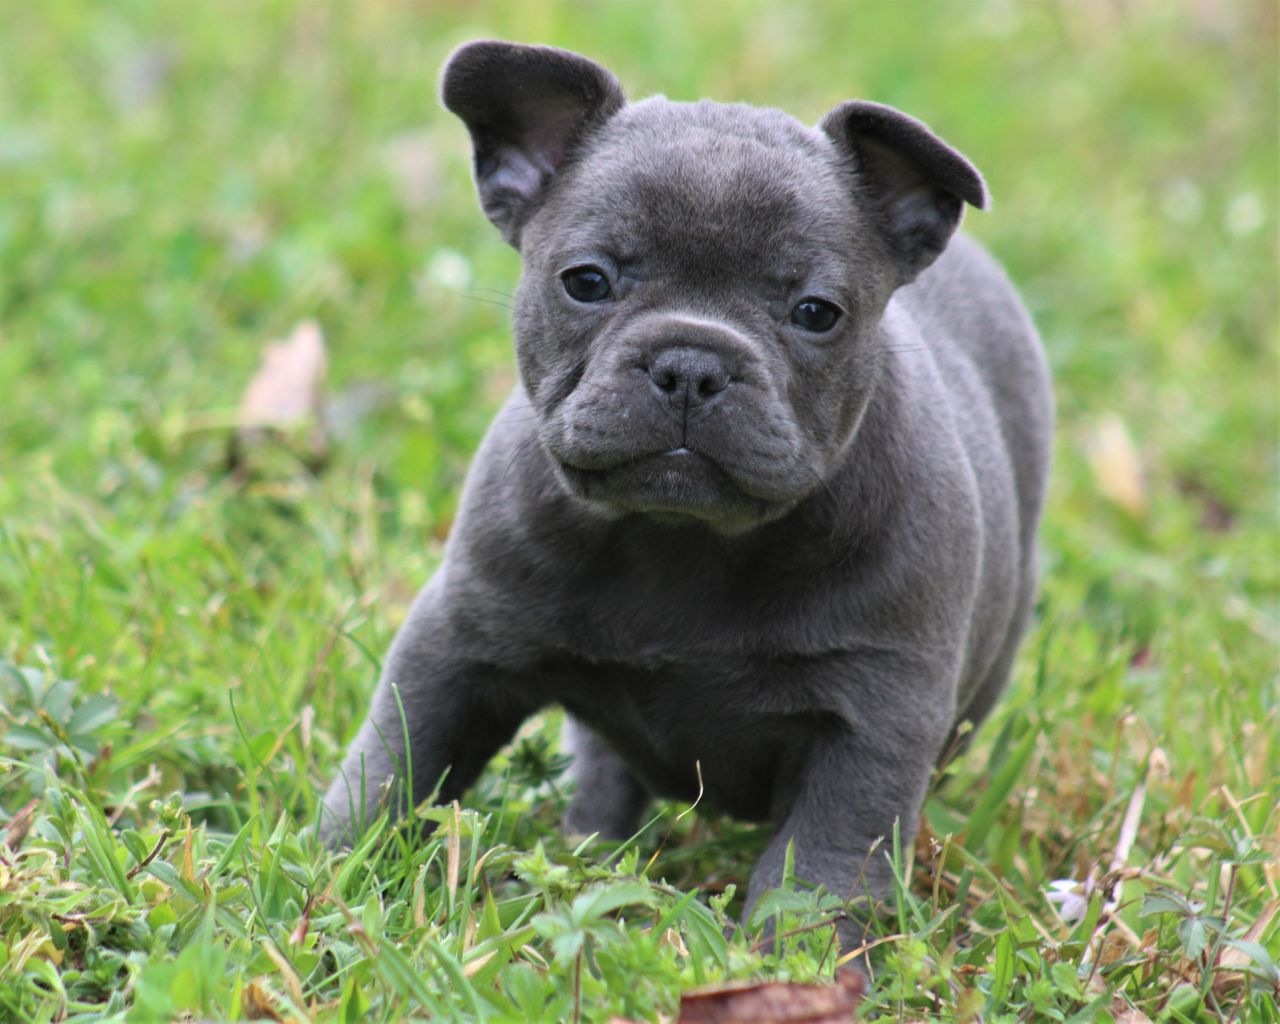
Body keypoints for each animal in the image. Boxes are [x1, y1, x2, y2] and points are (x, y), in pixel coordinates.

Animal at [321, 40, 1052, 956]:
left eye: (816, 312)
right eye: (586, 282)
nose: (692, 363)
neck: (681, 536)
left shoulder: (873, 722)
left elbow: (823, 858)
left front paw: (799, 960)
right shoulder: (459, 643)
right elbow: (399, 758)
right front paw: (338, 871)